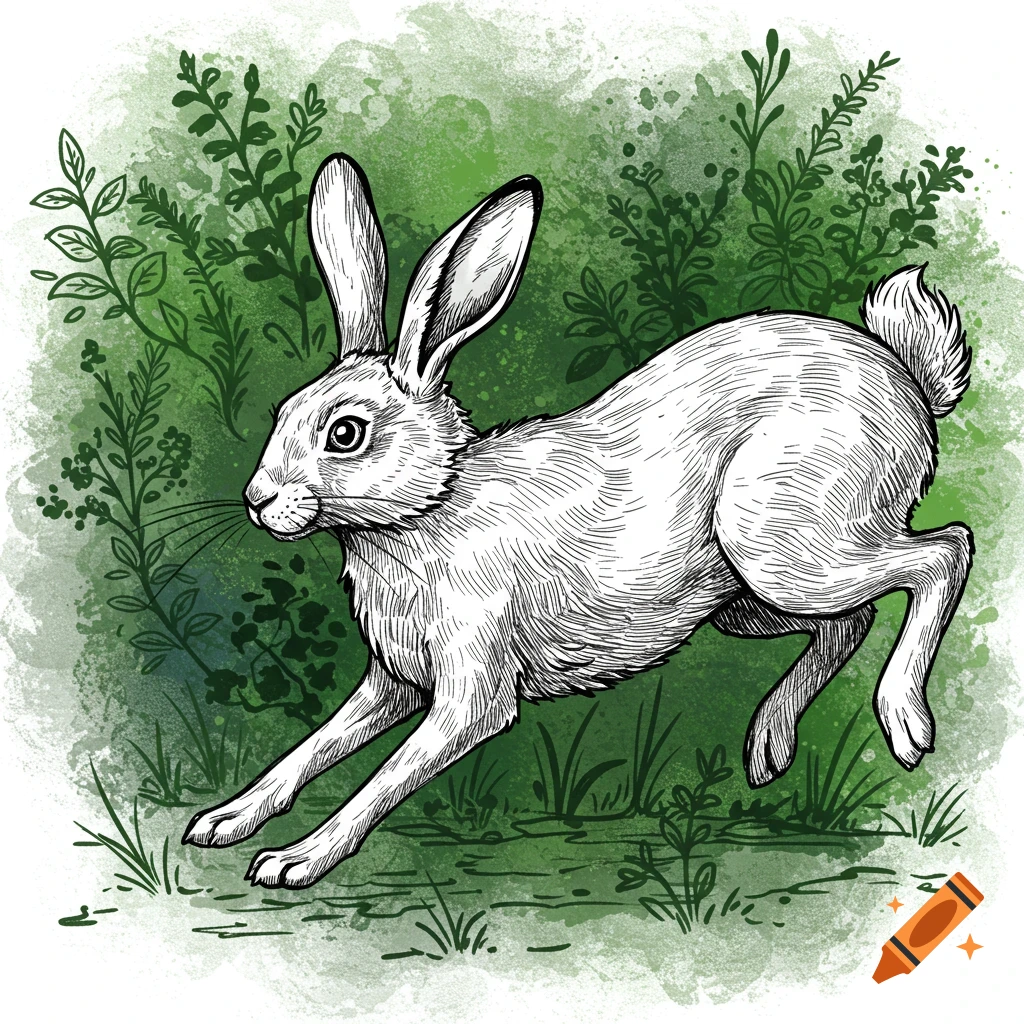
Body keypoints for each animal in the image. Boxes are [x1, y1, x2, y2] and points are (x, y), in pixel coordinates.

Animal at [183, 153, 972, 889]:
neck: (429, 508)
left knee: (942, 553)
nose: (257, 498)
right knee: (852, 619)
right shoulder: (394, 681)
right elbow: (314, 747)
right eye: (282, 412)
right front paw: (223, 822)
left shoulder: (469, 693)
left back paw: (904, 722)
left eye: (345, 434)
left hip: (781, 542)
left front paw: (295, 860)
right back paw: (769, 745)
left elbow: (385, 777)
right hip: (747, 598)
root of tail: (908, 384)